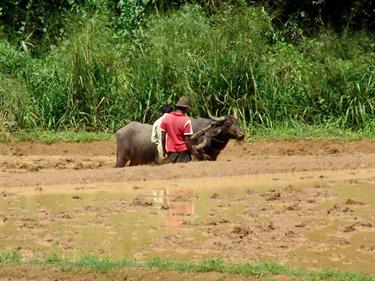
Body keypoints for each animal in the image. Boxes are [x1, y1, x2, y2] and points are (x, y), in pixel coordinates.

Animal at [116, 115, 245, 167]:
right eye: (227, 123)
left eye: (237, 122)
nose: (242, 134)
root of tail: (120, 131)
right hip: (121, 158)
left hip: (135, 160)